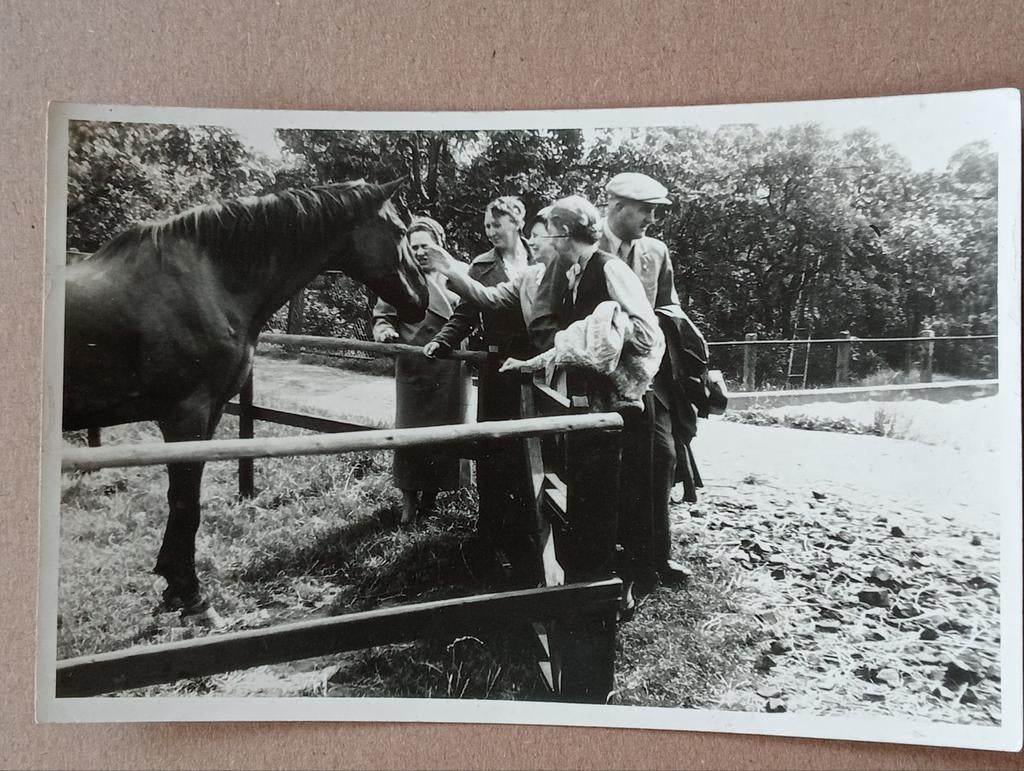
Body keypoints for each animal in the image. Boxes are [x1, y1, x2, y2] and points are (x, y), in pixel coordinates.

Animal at [61, 178, 427, 626]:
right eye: (400, 231)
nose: (421, 298)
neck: (209, 282)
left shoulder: (211, 413)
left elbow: (184, 501)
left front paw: (175, 585)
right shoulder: (185, 415)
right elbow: (186, 502)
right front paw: (192, 597)